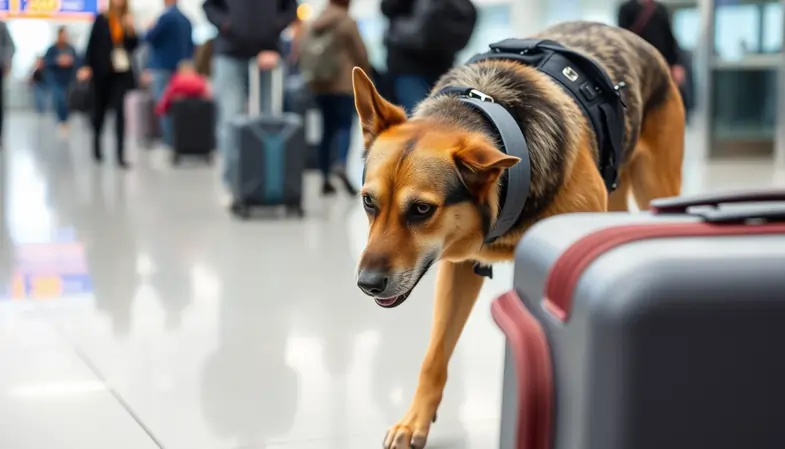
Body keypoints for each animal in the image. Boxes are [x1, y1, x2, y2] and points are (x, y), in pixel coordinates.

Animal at [352, 21, 684, 448]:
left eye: (422, 210)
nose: (367, 284)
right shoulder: (458, 270)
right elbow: (434, 355)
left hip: (657, 186)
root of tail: (628, 35)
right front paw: (415, 421)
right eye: (368, 202)